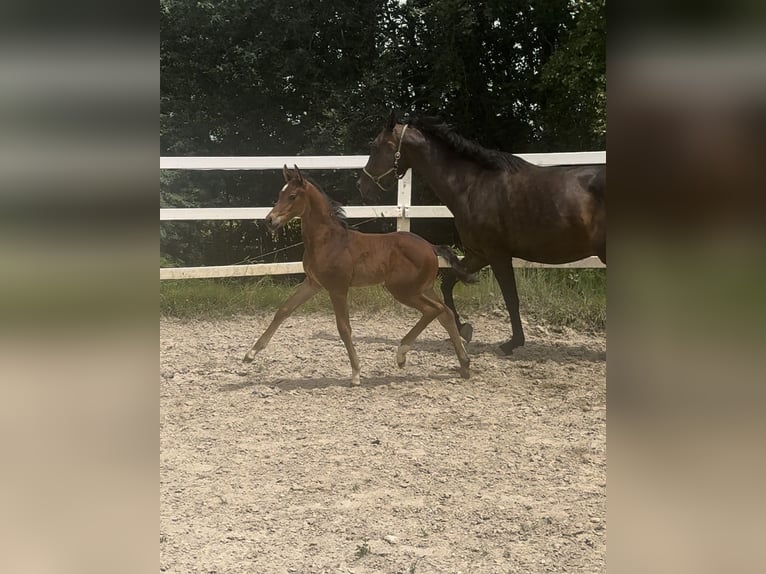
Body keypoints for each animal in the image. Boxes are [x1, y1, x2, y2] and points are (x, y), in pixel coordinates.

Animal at [244, 165, 474, 388]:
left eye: (292, 196)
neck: (327, 241)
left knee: (434, 310)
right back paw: (464, 364)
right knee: (445, 313)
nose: (269, 221)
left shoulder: (337, 288)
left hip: (403, 291)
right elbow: (283, 310)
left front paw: (356, 373)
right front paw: (250, 354)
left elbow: (344, 328)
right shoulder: (313, 283)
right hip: (423, 288)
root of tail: (431, 247)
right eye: (279, 194)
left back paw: (402, 355)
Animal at [358, 112, 608, 356]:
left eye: (376, 146)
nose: (362, 185)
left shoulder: (497, 255)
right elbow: (448, 284)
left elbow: (511, 298)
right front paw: (464, 329)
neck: (473, 187)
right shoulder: (478, 254)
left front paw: (512, 343)